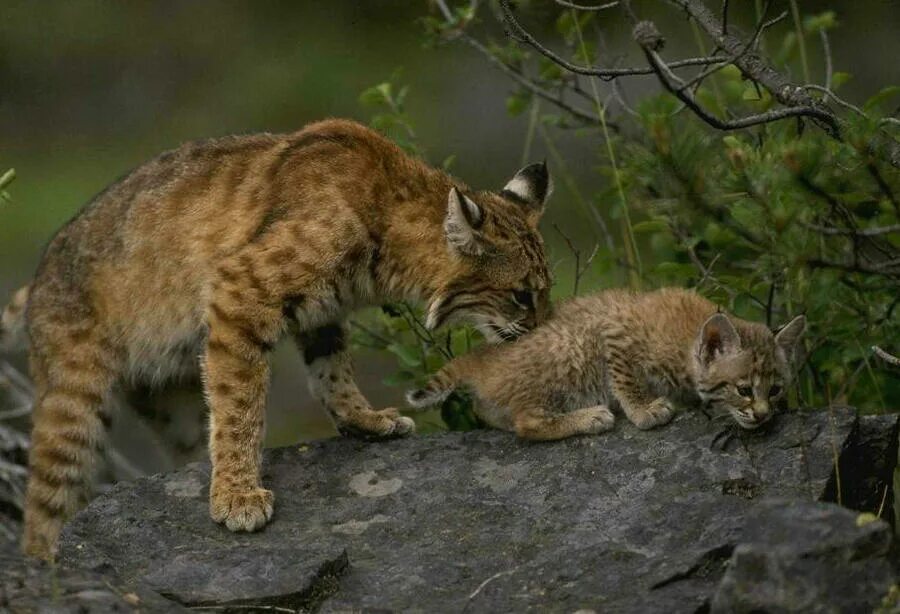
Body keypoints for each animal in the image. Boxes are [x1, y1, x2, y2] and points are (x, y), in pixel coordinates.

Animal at [5, 118, 556, 560]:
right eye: (523, 296)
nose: (545, 331)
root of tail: (41, 270)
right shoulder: (237, 291)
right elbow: (241, 407)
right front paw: (238, 498)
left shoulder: (323, 311)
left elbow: (332, 372)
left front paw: (363, 420)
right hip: (75, 398)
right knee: (45, 500)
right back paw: (45, 568)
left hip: (172, 400)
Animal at [406, 288, 800, 438]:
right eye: (744, 389)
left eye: (776, 390)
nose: (763, 416)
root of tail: (484, 356)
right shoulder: (612, 329)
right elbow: (625, 378)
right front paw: (643, 410)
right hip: (572, 345)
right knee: (526, 423)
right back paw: (589, 417)